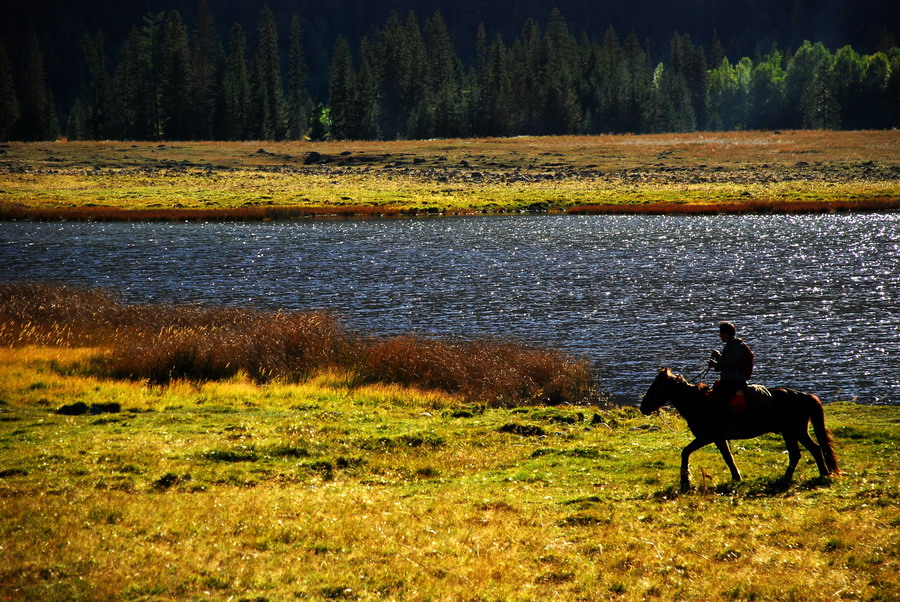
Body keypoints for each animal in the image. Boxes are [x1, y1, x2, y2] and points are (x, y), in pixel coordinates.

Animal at [640, 368, 836, 490]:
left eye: (656, 386)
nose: (643, 407)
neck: (698, 403)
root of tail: (803, 396)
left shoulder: (708, 437)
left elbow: (686, 452)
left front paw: (685, 479)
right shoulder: (718, 438)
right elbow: (727, 457)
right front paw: (736, 477)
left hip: (794, 431)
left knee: (810, 450)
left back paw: (818, 474)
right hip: (791, 432)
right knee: (804, 452)